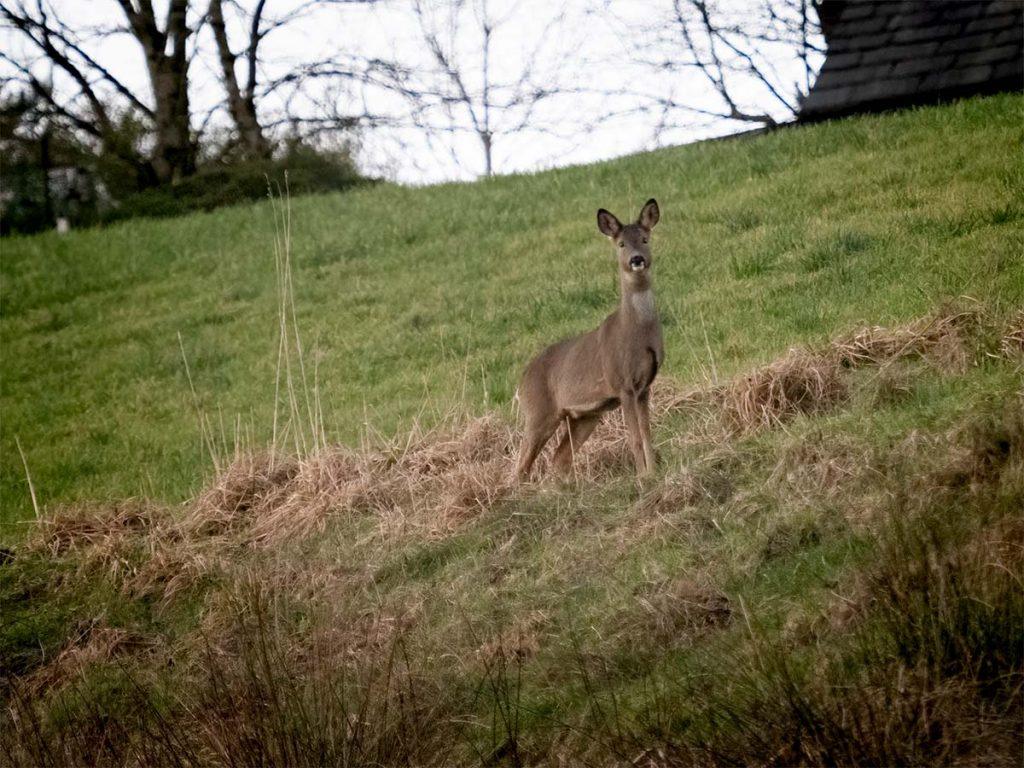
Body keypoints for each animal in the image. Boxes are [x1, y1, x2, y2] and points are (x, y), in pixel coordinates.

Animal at [515, 198, 663, 481]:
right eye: (621, 244)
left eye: (645, 239)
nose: (637, 259)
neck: (636, 331)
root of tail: (521, 380)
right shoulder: (622, 383)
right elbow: (634, 438)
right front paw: (643, 477)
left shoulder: (644, 386)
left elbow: (647, 434)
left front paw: (654, 473)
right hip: (538, 413)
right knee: (521, 465)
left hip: (585, 416)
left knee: (559, 458)